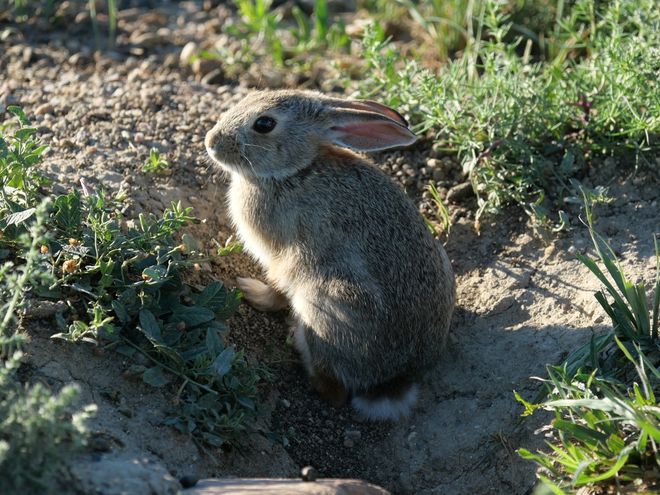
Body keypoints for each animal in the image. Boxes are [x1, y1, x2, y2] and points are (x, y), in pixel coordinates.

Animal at [205, 89, 455, 420]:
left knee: (332, 390)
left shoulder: (284, 256)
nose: (211, 141)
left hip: (324, 304)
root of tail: (391, 381)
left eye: (264, 124)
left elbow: (278, 287)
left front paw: (251, 290)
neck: (295, 172)